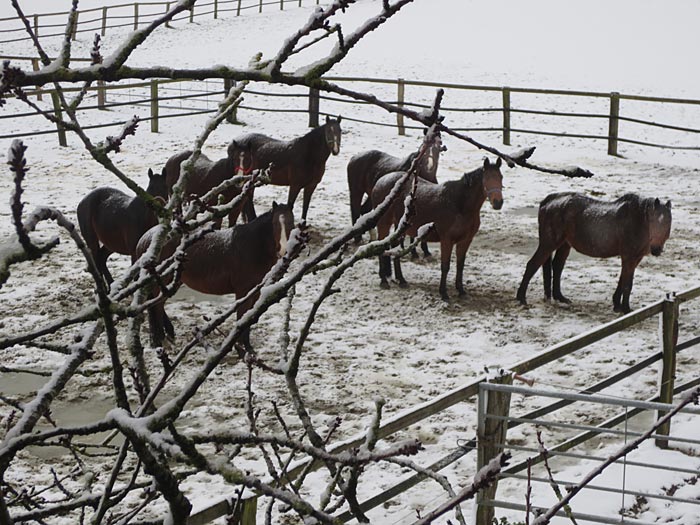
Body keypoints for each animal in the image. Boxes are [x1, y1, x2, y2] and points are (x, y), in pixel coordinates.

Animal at [135, 203, 295, 349]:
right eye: (275, 224)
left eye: (291, 223)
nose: (284, 251)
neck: (252, 247)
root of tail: (146, 239)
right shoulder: (243, 293)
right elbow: (241, 319)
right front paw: (244, 349)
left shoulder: (254, 292)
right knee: (156, 308)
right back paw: (162, 341)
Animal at [372, 157, 504, 300]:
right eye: (487, 178)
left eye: (501, 177)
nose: (498, 202)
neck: (460, 204)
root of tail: (380, 181)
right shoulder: (447, 240)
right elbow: (445, 266)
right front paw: (444, 293)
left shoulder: (465, 240)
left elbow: (460, 265)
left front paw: (461, 291)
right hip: (384, 224)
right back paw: (384, 281)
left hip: (400, 227)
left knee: (396, 250)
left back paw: (401, 280)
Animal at [516, 192, 672, 313]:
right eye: (653, 221)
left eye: (667, 223)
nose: (656, 249)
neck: (637, 220)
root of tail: (548, 201)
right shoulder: (629, 257)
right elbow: (627, 284)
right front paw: (626, 309)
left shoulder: (635, 258)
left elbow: (622, 280)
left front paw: (617, 304)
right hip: (549, 243)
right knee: (532, 264)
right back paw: (521, 298)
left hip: (565, 244)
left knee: (557, 266)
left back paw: (560, 297)